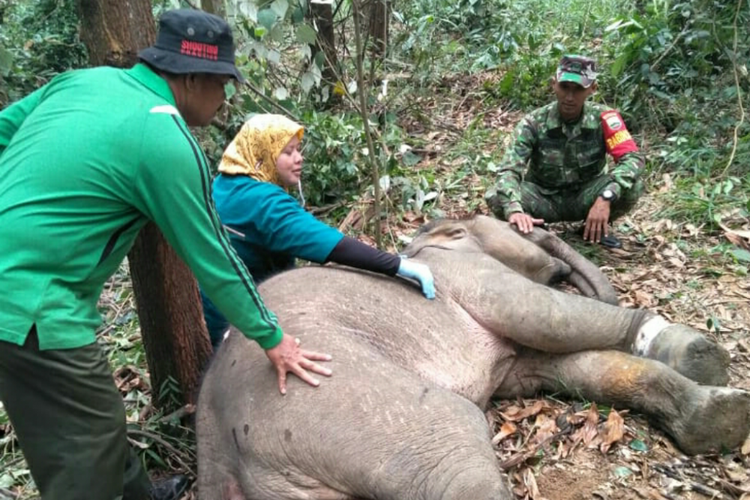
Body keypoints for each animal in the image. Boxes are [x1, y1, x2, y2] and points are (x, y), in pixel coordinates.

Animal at [195, 215, 750, 500]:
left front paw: (719, 417)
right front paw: (702, 354)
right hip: (326, 395)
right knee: (455, 451)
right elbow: (549, 318)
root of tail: (211, 445)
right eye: (528, 231)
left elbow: (562, 365)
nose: (559, 250)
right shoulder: (470, 277)